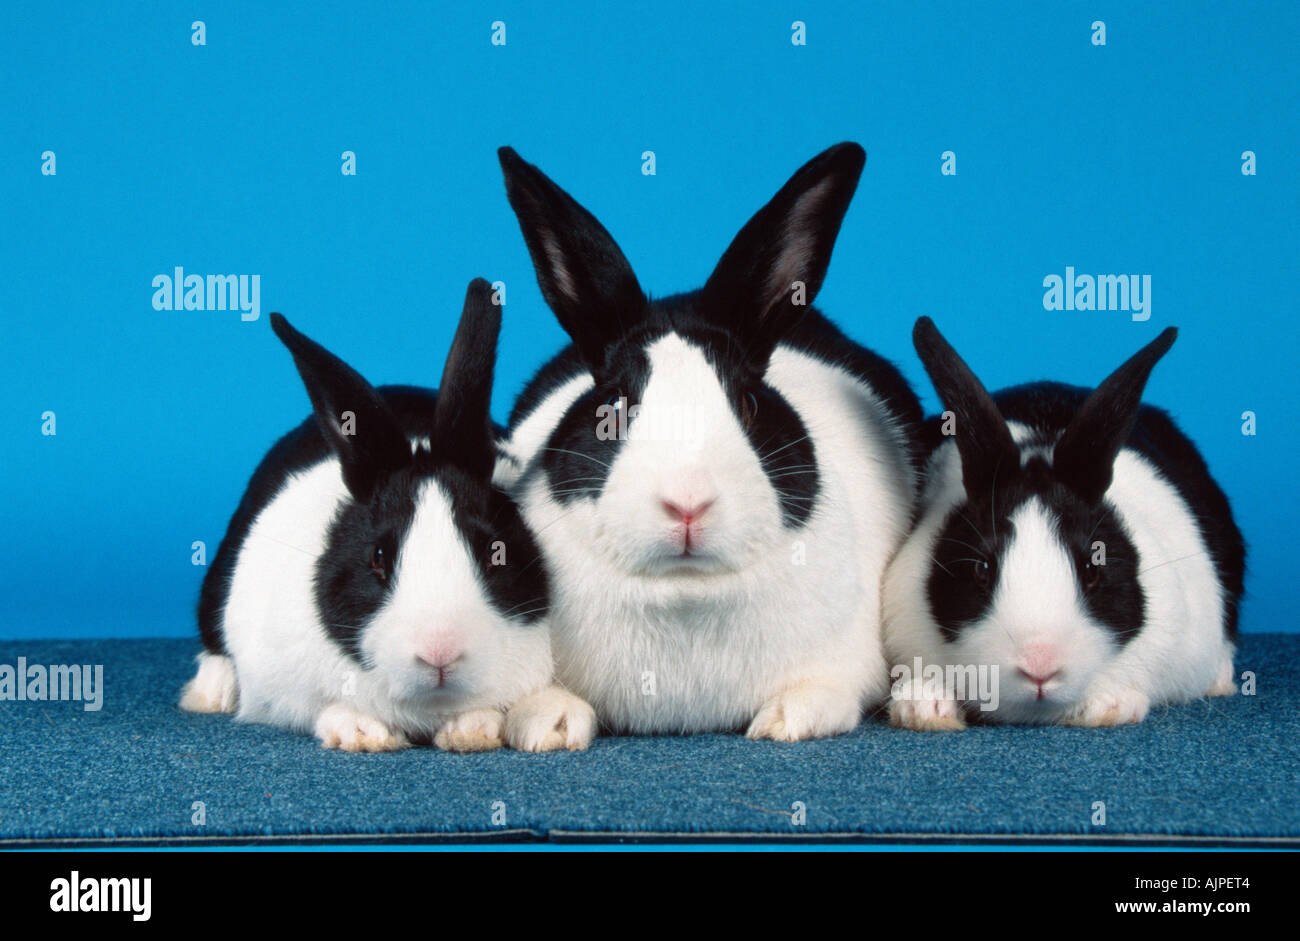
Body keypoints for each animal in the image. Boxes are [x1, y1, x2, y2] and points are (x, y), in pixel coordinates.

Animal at [178, 278, 595, 753]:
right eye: (377, 557)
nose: (439, 652)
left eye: (496, 553)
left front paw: (505, 727)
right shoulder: (277, 690)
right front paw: (365, 733)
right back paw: (210, 692)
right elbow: (320, 708)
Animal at [492, 143, 923, 741]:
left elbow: (825, 693)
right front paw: (546, 724)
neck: (685, 592)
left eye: (748, 404)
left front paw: (785, 719)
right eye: (611, 410)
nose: (688, 504)